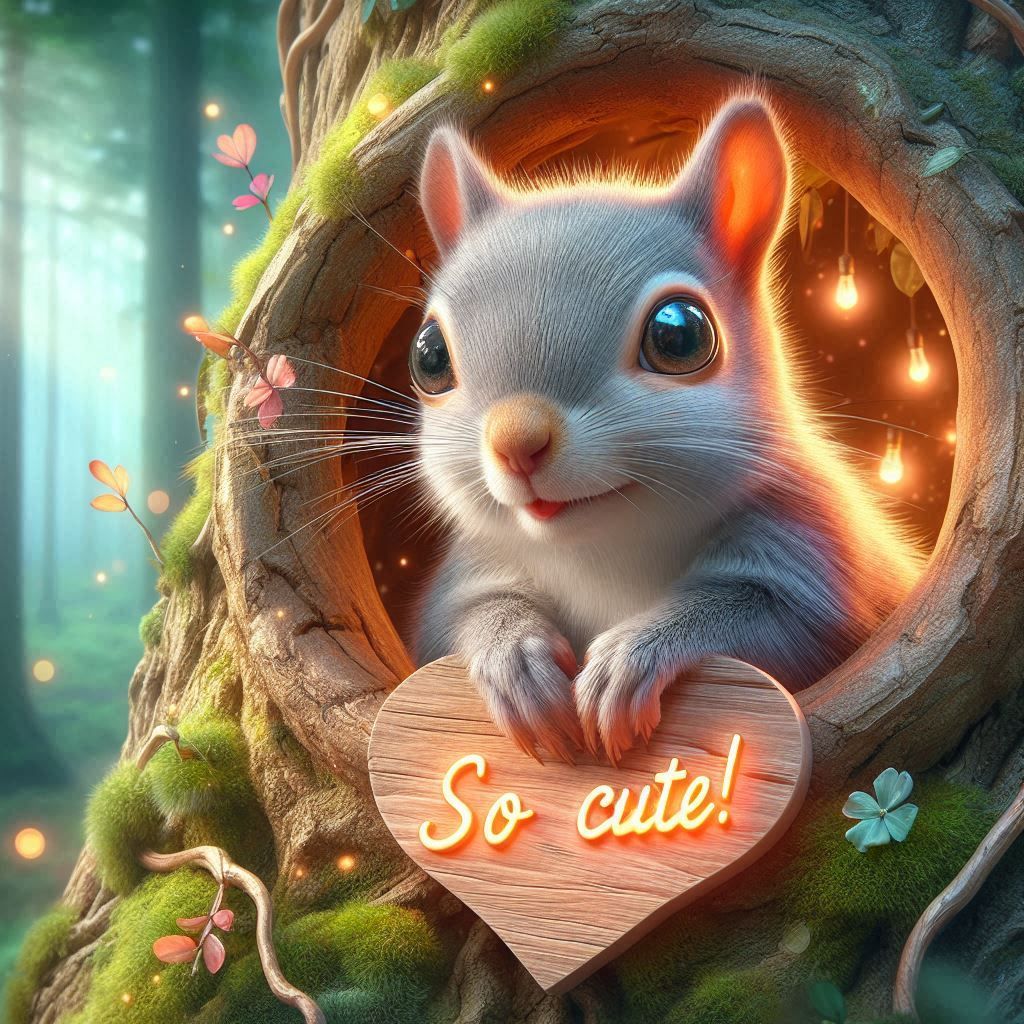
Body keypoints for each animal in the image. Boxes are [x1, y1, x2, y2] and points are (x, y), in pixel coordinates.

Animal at [407, 95, 924, 764]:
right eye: (428, 356)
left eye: (680, 335)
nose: (516, 442)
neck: (605, 551)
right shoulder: (470, 568)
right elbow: (459, 619)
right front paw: (513, 658)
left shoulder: (818, 557)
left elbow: (771, 622)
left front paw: (629, 658)